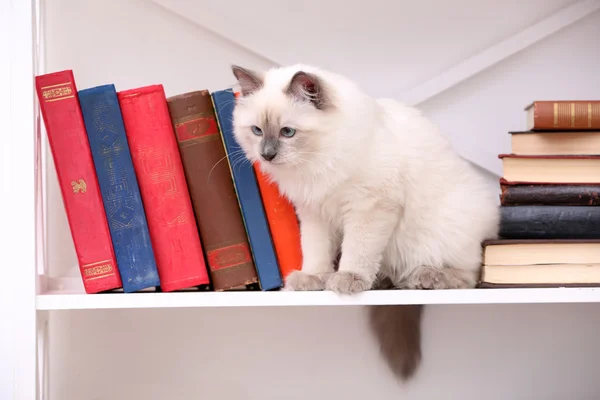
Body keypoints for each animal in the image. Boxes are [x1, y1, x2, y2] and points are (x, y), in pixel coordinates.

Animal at [231, 64, 502, 380]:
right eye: (257, 131)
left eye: (287, 132)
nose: (267, 155)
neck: (314, 166)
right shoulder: (314, 212)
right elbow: (315, 252)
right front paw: (314, 279)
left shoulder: (369, 206)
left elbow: (358, 251)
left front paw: (347, 279)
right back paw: (383, 280)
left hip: (444, 231)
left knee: (468, 275)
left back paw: (423, 277)